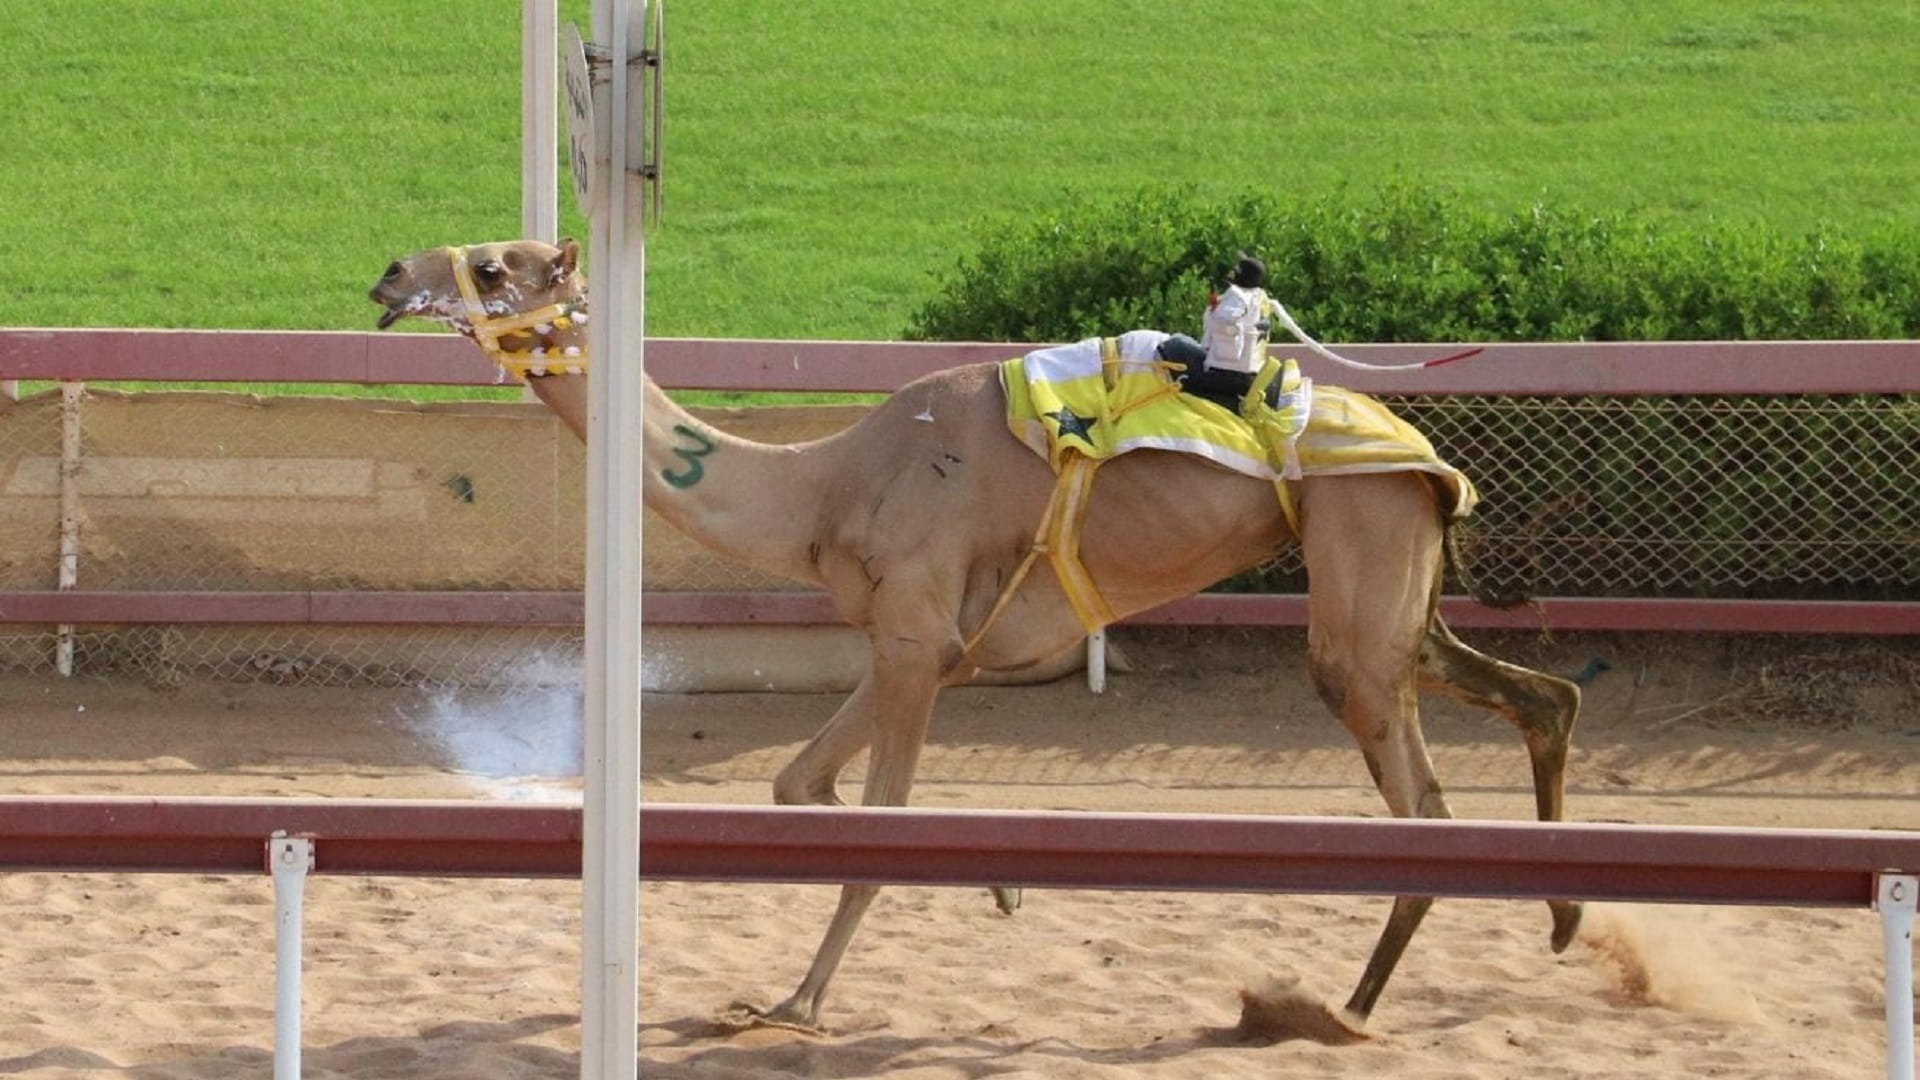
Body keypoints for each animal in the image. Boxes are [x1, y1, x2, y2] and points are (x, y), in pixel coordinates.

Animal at [366, 239, 1582, 1030]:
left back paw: (1350, 1006)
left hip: (1360, 546)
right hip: (1400, 584)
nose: (387, 274)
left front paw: (798, 1003)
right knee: (1536, 696)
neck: (822, 488)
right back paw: (1551, 923)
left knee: (1417, 786)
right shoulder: (914, 644)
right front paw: (1000, 885)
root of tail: (1433, 463)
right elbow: (801, 787)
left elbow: (875, 826)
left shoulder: (912, 640)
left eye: (494, 265)